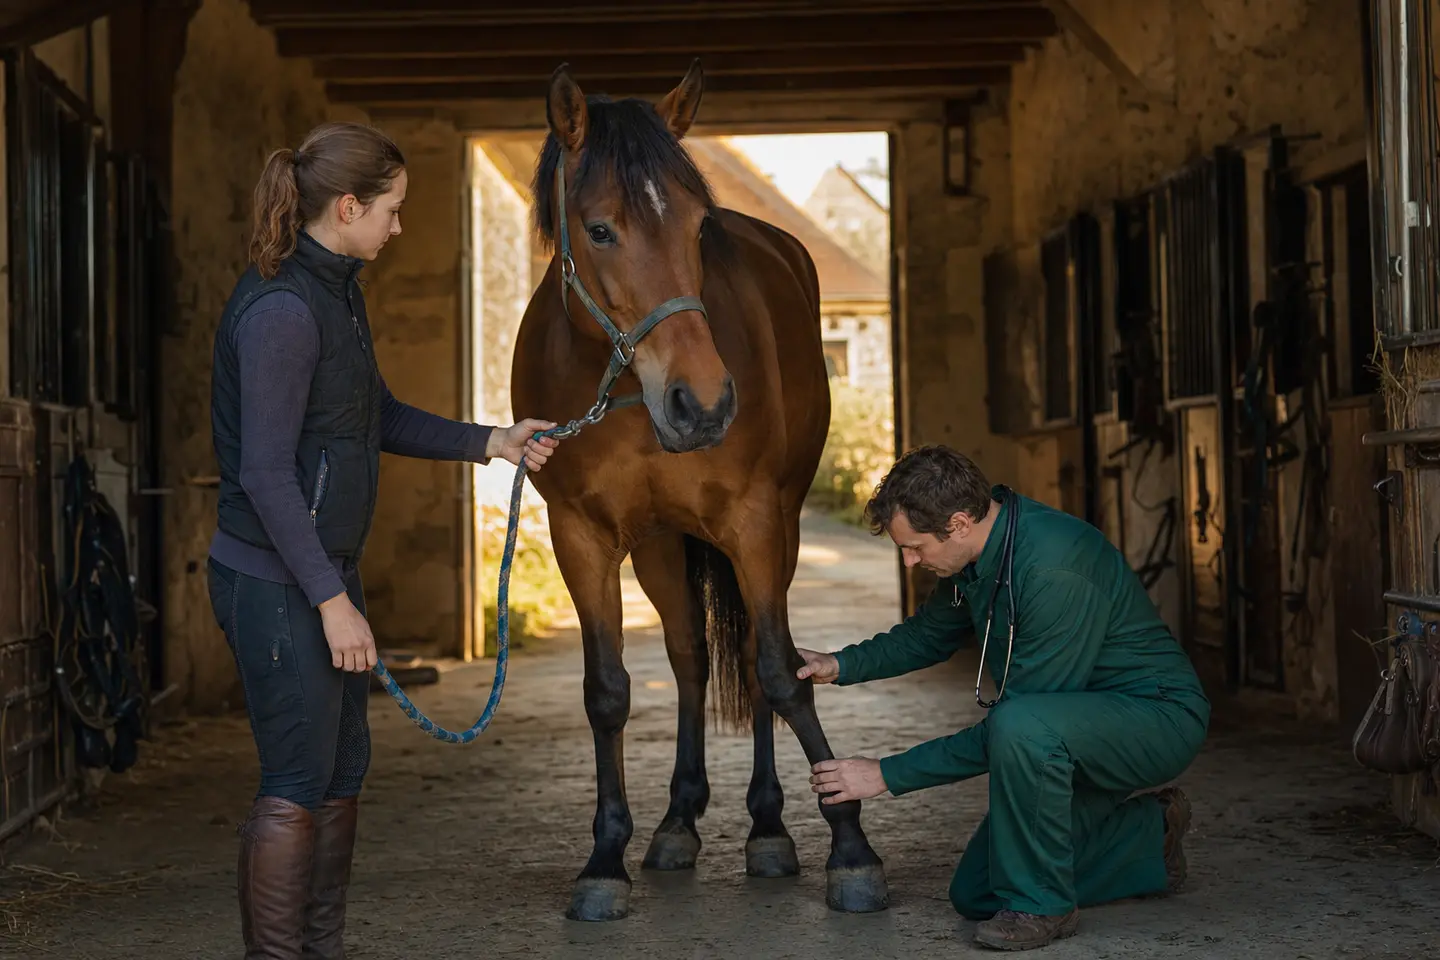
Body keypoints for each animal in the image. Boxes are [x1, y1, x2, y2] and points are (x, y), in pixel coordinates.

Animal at [509, 60, 890, 922]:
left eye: (694, 230)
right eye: (600, 230)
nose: (704, 403)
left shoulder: (753, 524)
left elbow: (778, 672)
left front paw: (848, 845)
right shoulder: (580, 536)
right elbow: (608, 691)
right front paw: (604, 859)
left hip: (778, 528)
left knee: (749, 658)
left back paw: (768, 828)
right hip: (660, 543)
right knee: (688, 656)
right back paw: (679, 819)